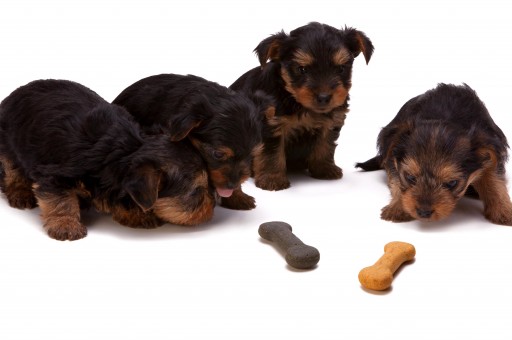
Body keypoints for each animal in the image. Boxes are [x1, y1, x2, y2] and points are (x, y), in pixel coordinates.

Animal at [0, 79, 215, 240]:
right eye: (197, 192)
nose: (213, 204)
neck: (126, 150)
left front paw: (136, 214)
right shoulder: (54, 176)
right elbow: (61, 200)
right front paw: (66, 225)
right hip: (7, 143)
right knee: (12, 169)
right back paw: (20, 193)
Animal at [230, 21, 374, 191]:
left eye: (340, 69)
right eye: (302, 69)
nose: (324, 97)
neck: (296, 100)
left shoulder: (331, 121)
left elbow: (325, 144)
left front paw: (324, 168)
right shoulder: (271, 124)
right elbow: (271, 152)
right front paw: (272, 178)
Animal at [356, 83, 512, 226]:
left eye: (452, 183)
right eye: (410, 177)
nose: (423, 212)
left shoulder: (491, 152)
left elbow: (494, 181)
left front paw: (504, 211)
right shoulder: (392, 154)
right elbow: (396, 180)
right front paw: (398, 207)